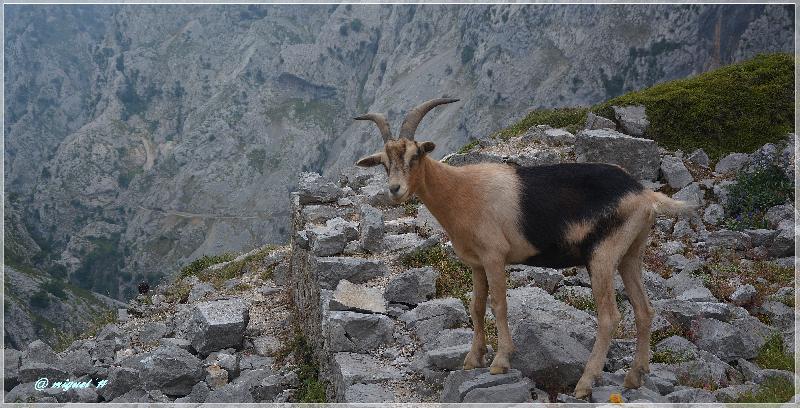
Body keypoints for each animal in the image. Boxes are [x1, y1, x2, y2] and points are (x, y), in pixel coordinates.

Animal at [354, 99, 692, 398]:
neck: (462, 190)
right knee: (644, 310)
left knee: (610, 316)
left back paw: (585, 383)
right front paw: (472, 359)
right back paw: (634, 377)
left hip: (602, 256)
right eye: (384, 163)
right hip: (631, 254)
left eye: (415, 156)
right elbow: (476, 307)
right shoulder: (476, 263)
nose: (395, 190)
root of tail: (645, 195)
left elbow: (498, 305)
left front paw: (500, 362)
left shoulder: (494, 256)